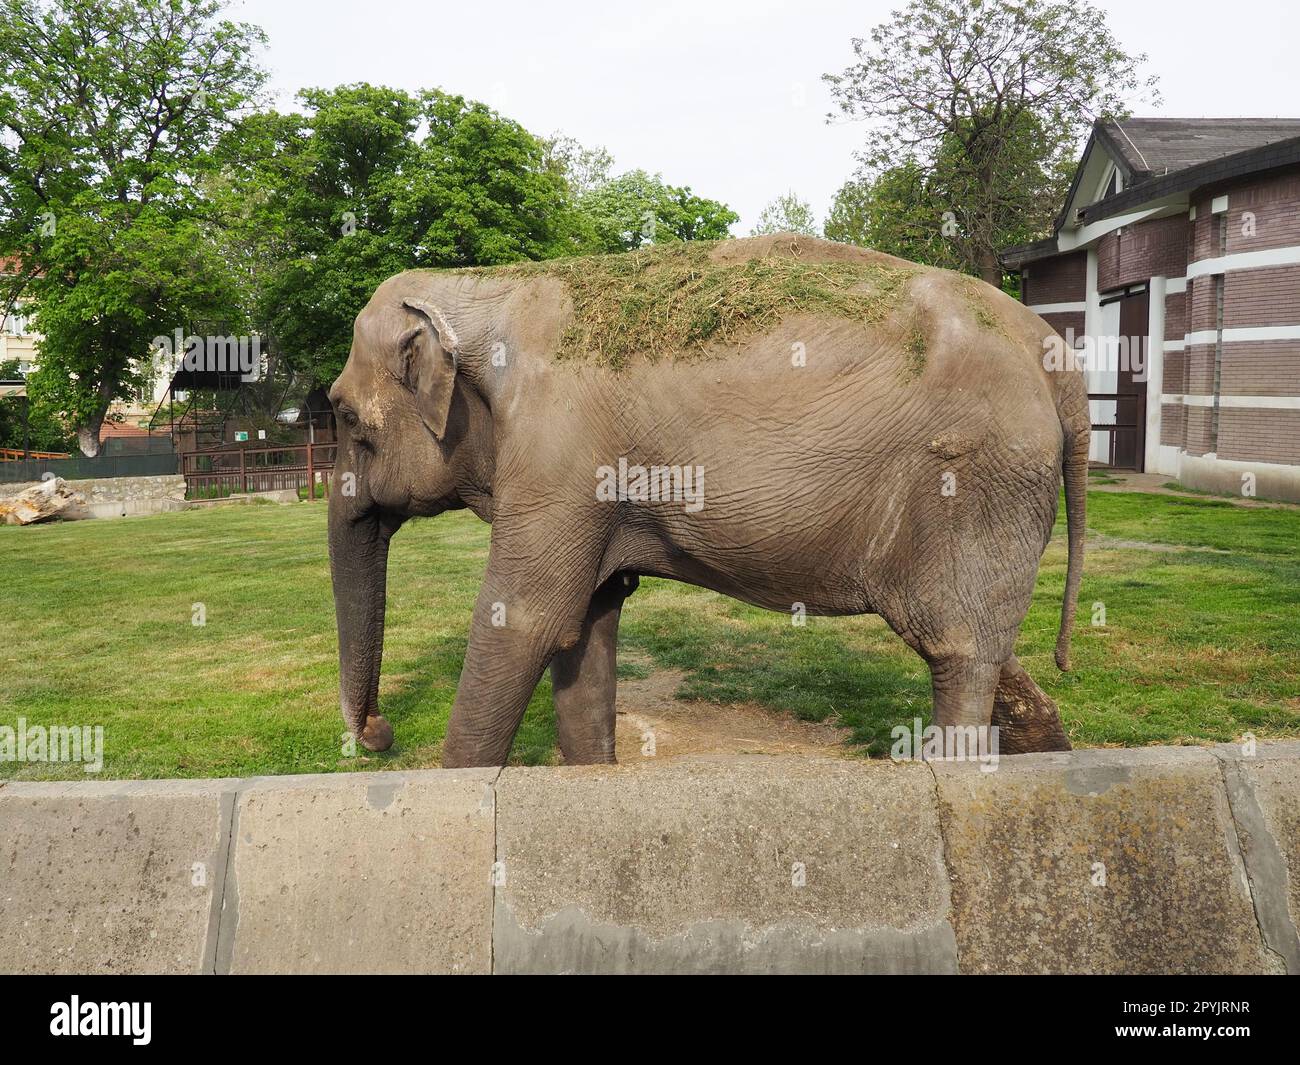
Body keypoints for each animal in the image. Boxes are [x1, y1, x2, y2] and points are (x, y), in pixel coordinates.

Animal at [327, 232, 1086, 764]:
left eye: (343, 416)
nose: (379, 733)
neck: (487, 286)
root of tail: (1053, 354)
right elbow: (588, 624)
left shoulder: (559, 454)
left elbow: (526, 620)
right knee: (987, 650)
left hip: (978, 482)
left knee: (960, 654)